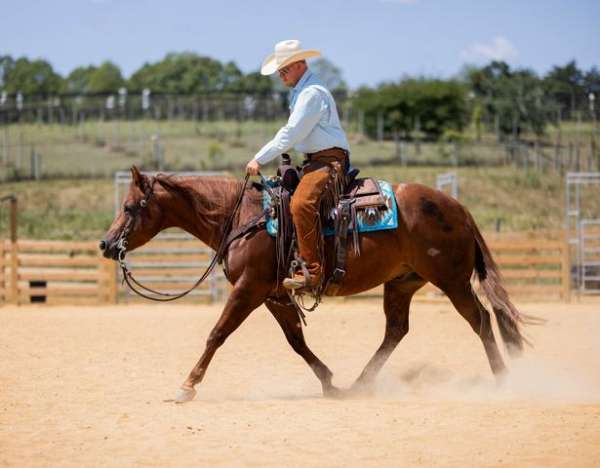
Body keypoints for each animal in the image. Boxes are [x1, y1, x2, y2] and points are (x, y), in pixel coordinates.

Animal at [101, 166, 528, 404]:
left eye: (128, 207)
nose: (106, 244)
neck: (244, 216)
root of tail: (458, 208)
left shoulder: (248, 289)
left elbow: (217, 333)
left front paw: (187, 386)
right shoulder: (273, 295)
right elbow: (296, 341)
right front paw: (329, 382)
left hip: (452, 281)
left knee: (481, 321)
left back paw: (503, 381)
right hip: (402, 282)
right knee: (396, 330)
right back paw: (360, 385)